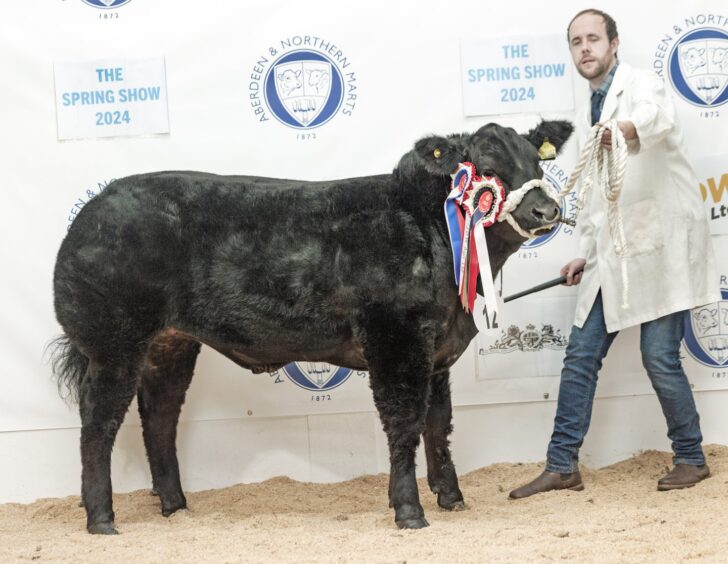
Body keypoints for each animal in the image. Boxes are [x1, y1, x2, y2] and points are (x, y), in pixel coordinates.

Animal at [51, 119, 576, 532]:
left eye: (536, 162)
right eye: (485, 167)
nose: (547, 211)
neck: (433, 230)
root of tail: (94, 207)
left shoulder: (437, 350)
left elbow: (438, 423)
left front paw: (452, 498)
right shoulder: (396, 338)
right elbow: (404, 422)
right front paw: (409, 510)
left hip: (171, 343)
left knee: (159, 416)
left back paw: (176, 506)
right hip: (113, 342)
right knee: (98, 422)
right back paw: (101, 518)